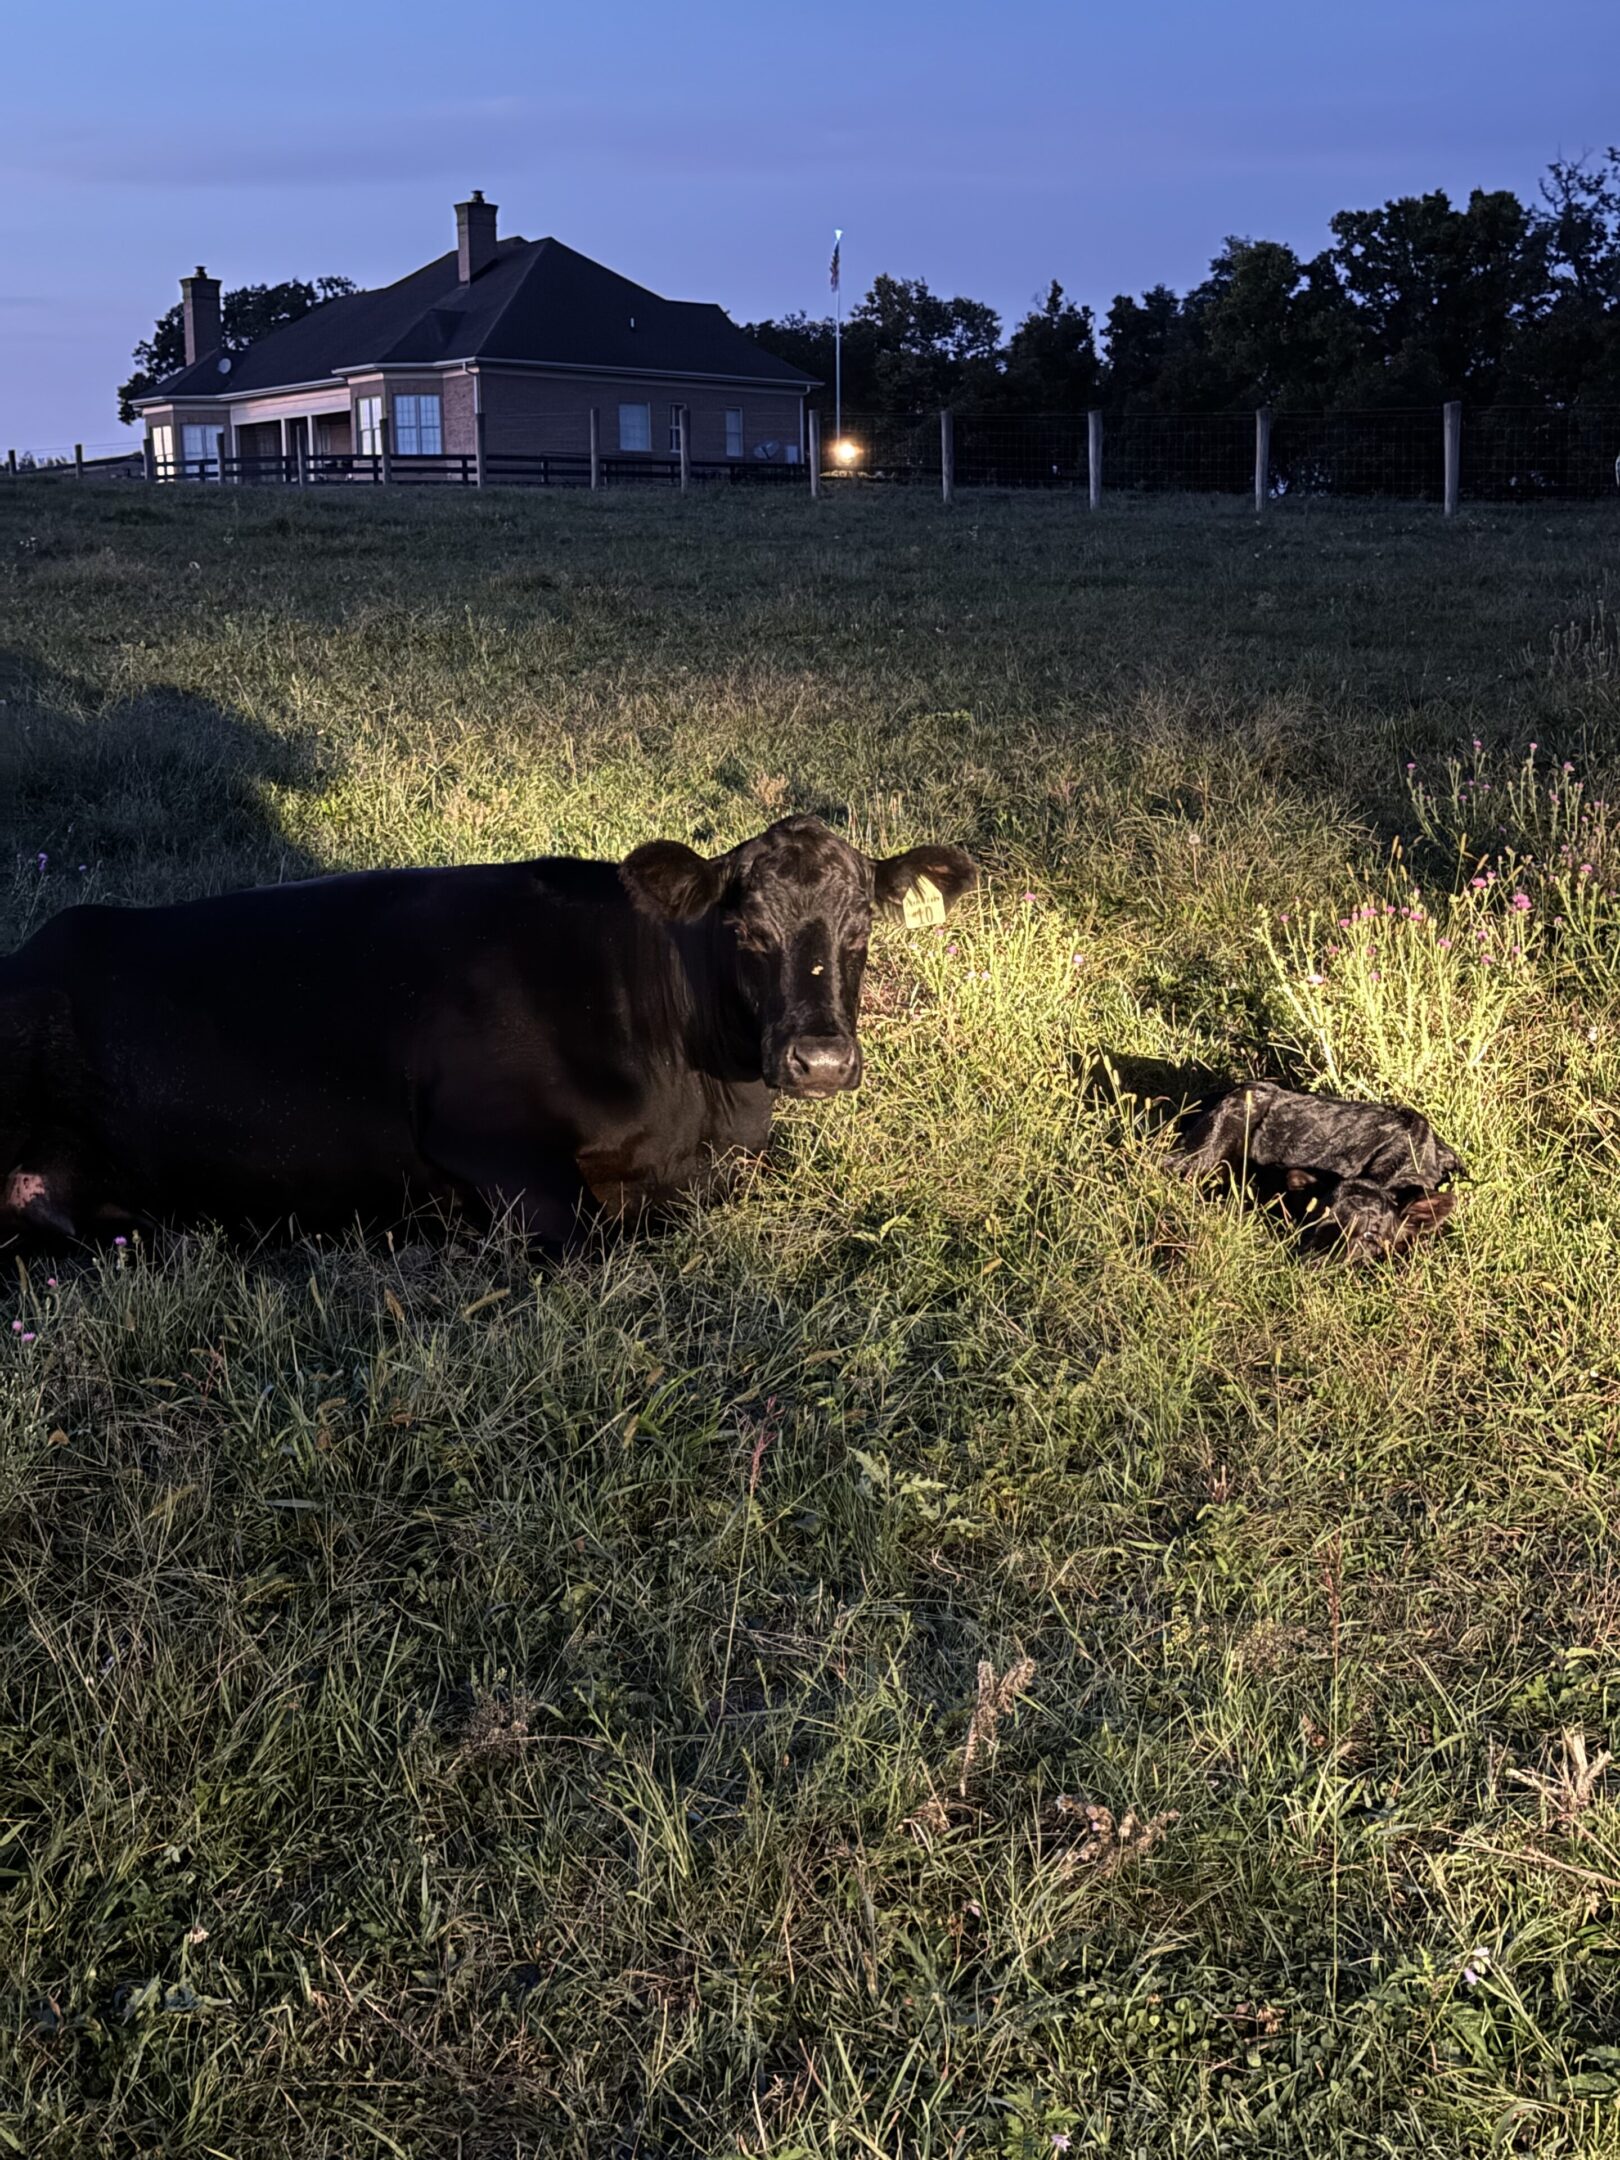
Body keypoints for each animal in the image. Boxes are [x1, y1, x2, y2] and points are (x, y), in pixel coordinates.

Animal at [0, 816, 977, 1251]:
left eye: (862, 929)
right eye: (747, 929)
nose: (820, 1060)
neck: (702, 1103)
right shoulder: (489, 1141)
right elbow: (611, 1235)